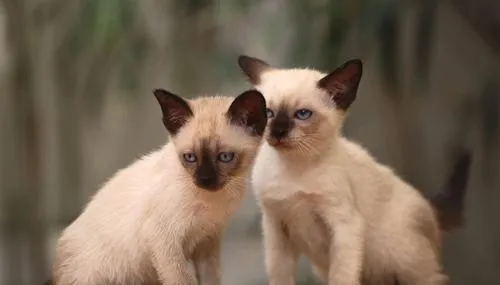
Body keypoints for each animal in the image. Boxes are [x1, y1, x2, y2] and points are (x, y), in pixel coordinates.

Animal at [50, 89, 268, 284]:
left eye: (225, 157)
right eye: (190, 157)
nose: (205, 179)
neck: (212, 201)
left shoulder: (208, 242)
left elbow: (211, 280)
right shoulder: (165, 242)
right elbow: (183, 281)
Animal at [236, 55, 470, 284]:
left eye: (302, 114)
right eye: (268, 113)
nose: (278, 132)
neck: (292, 166)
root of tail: (430, 208)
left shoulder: (344, 226)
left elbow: (342, 277)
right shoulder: (275, 227)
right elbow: (279, 275)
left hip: (406, 265)